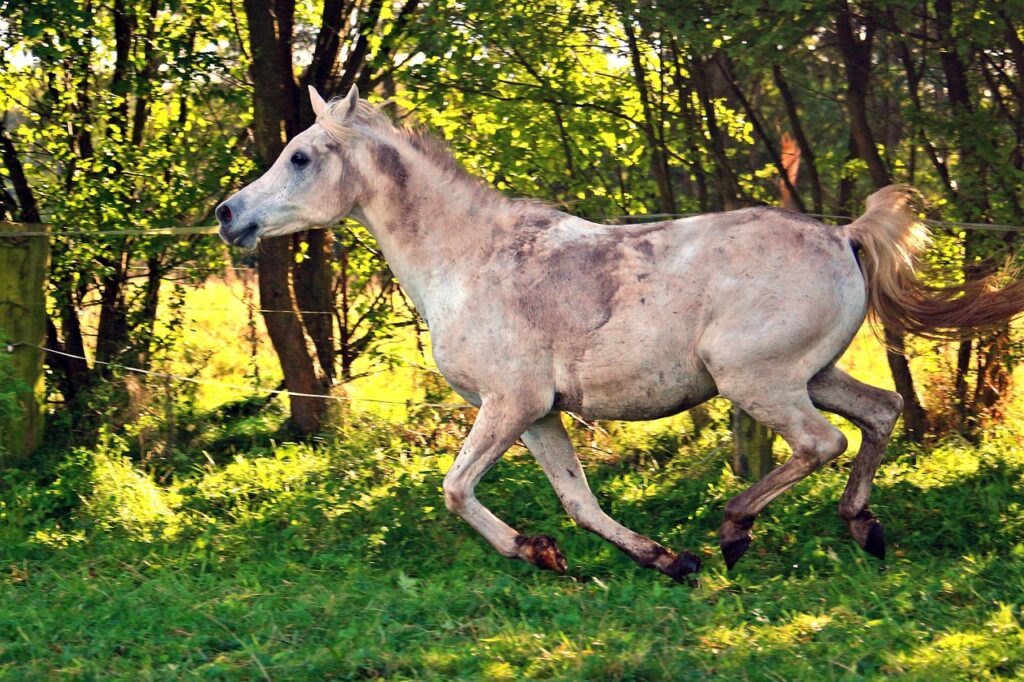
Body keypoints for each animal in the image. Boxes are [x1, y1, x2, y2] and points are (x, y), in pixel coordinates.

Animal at [216, 86, 1024, 581]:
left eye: (301, 156)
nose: (229, 215)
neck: (472, 260)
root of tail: (845, 235)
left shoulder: (507, 404)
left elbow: (454, 488)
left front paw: (533, 551)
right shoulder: (539, 413)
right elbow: (579, 501)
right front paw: (660, 561)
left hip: (756, 380)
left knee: (822, 443)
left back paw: (736, 530)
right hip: (812, 374)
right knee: (881, 414)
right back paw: (861, 528)